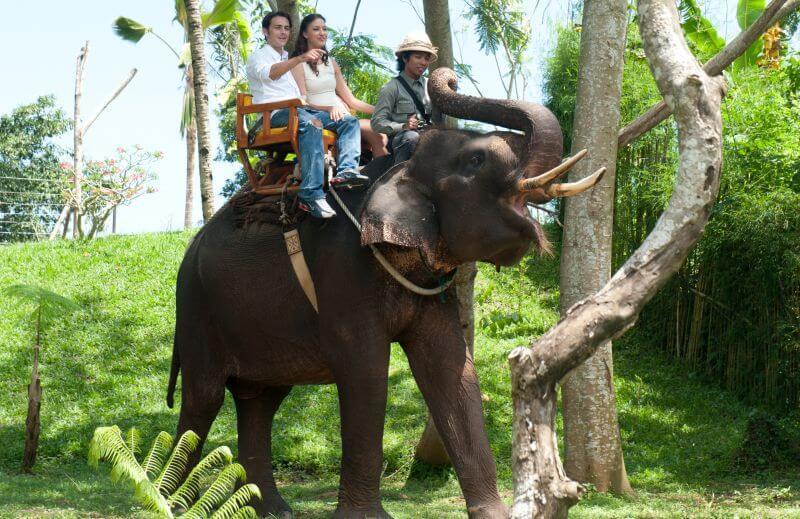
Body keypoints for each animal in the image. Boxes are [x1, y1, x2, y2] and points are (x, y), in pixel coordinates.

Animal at [167, 69, 600, 519]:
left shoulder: (430, 287)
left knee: (260, 401)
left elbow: (451, 369)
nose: (448, 77)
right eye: (477, 161)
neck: (398, 168)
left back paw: (271, 510)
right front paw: (365, 517)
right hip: (196, 309)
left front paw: (495, 515)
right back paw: (173, 501)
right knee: (204, 398)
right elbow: (365, 370)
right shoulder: (343, 271)